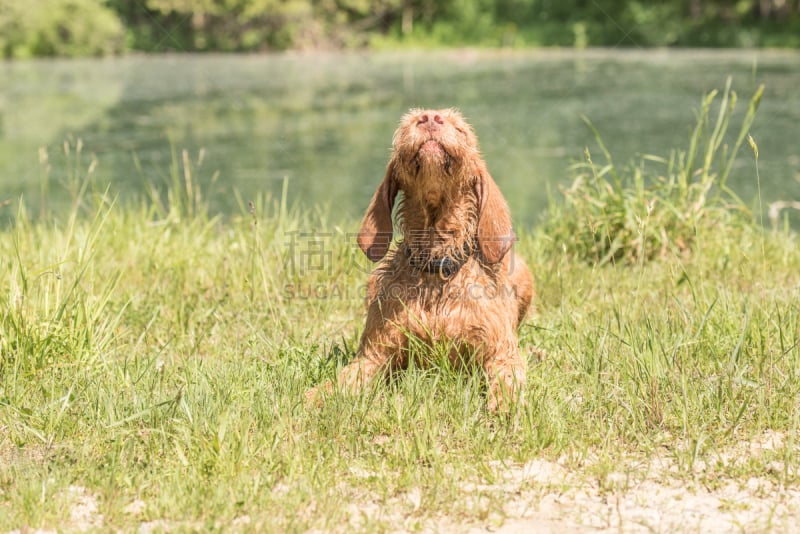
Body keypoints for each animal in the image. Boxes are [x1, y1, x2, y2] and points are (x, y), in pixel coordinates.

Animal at [306, 107, 532, 412]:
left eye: (460, 129)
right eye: (408, 124)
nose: (431, 117)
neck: (436, 268)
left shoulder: (500, 351)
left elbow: (508, 380)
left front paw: (506, 406)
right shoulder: (374, 354)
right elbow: (344, 379)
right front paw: (315, 395)